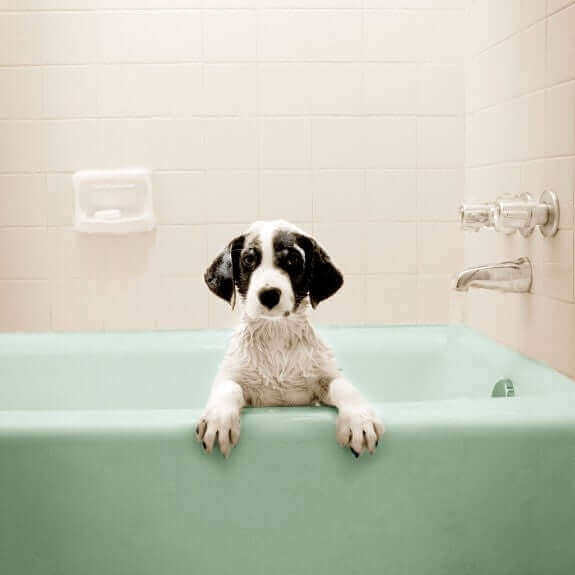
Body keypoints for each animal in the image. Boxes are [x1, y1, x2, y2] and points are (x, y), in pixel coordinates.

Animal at [196, 220, 384, 460]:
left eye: (292, 260)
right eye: (248, 260)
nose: (269, 294)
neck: (276, 334)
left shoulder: (321, 382)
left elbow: (343, 385)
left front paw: (360, 420)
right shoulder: (234, 376)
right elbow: (228, 387)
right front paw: (219, 420)